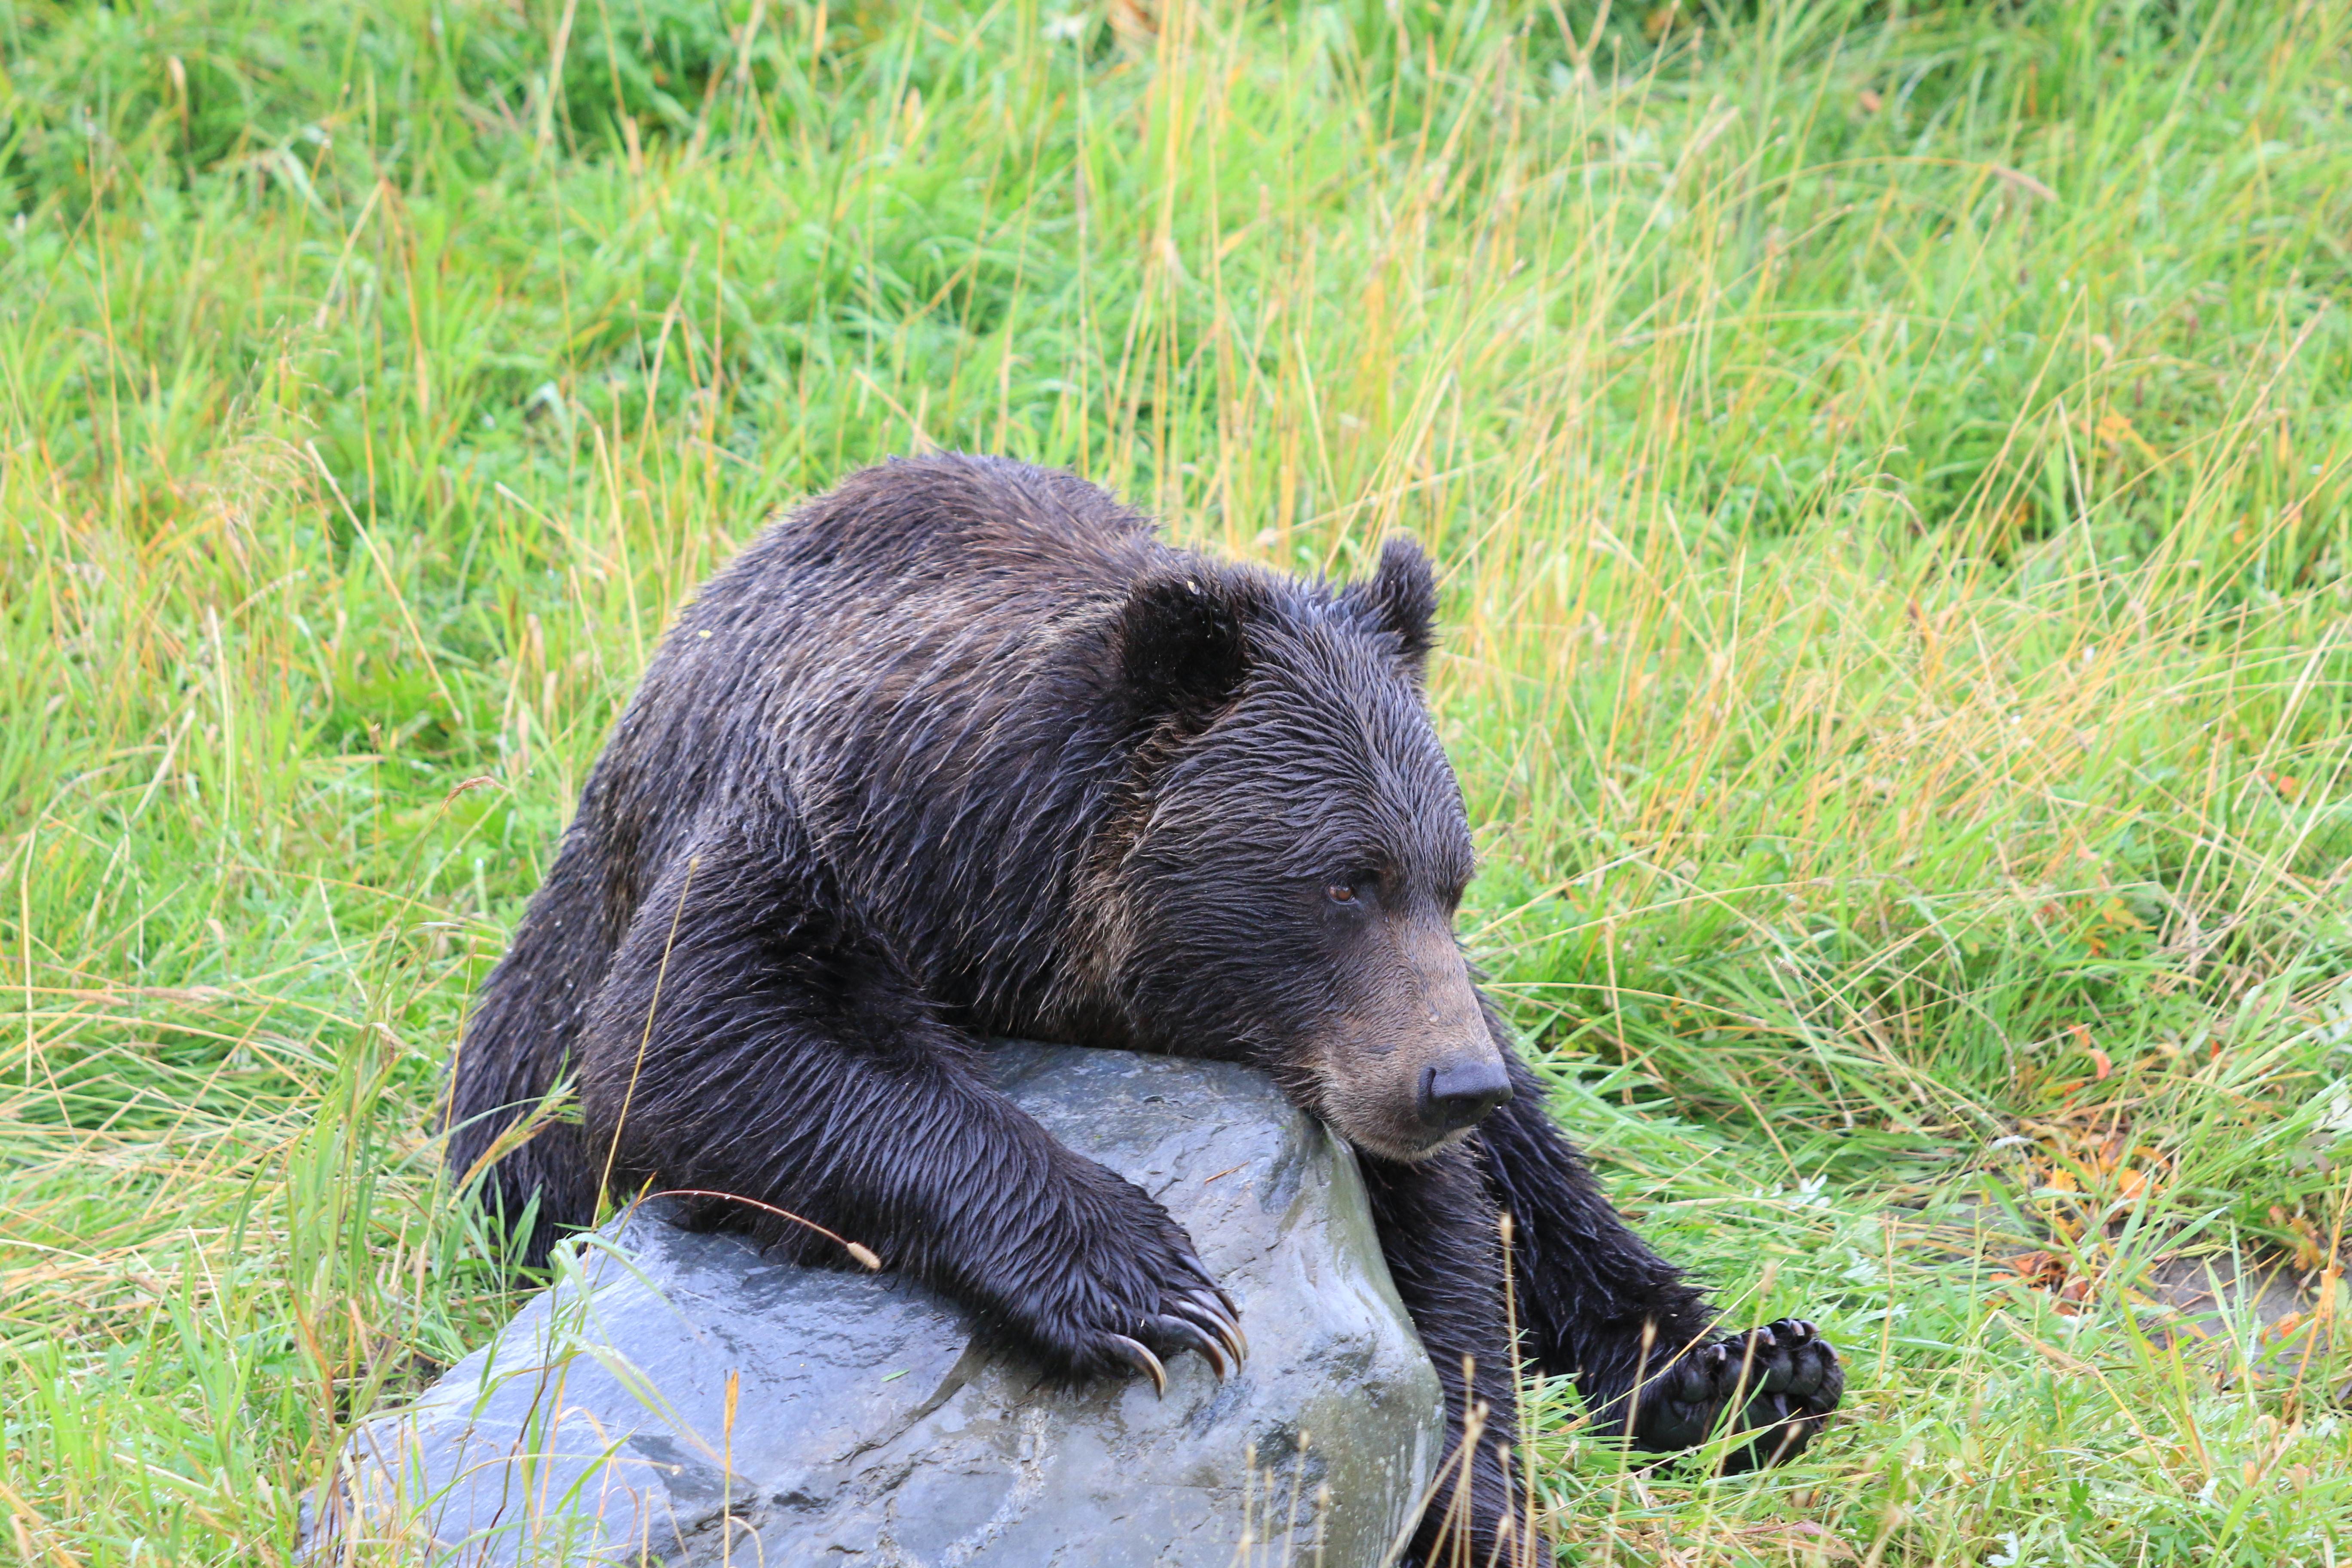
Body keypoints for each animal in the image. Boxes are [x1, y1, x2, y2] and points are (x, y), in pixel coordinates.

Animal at [442, 453, 1845, 1564]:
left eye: (1450, 875)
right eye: (1347, 879)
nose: (1453, 1081)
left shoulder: (1352, 1057)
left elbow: (1452, 1269)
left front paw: (1478, 1508)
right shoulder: (818, 839)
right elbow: (696, 1037)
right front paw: (1145, 1284)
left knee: (1551, 1187)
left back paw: (1746, 1372)